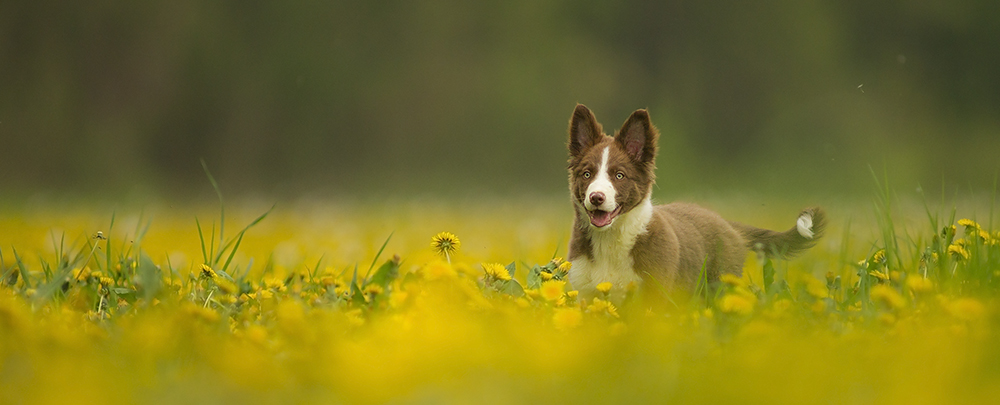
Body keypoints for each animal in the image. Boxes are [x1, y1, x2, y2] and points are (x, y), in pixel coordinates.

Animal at [568, 105, 824, 302]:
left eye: (619, 175)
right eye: (587, 174)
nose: (596, 197)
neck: (611, 240)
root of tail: (728, 224)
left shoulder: (655, 292)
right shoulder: (584, 292)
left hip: (721, 283)